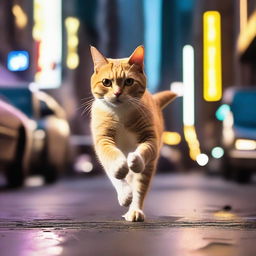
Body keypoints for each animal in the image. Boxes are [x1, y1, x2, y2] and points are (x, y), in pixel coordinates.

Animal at [89, 45, 176, 221]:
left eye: (129, 81)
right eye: (106, 82)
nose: (117, 93)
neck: (120, 112)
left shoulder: (150, 138)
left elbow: (144, 151)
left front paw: (136, 160)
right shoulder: (103, 141)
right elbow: (113, 164)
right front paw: (123, 190)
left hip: (148, 169)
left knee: (140, 187)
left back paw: (135, 210)